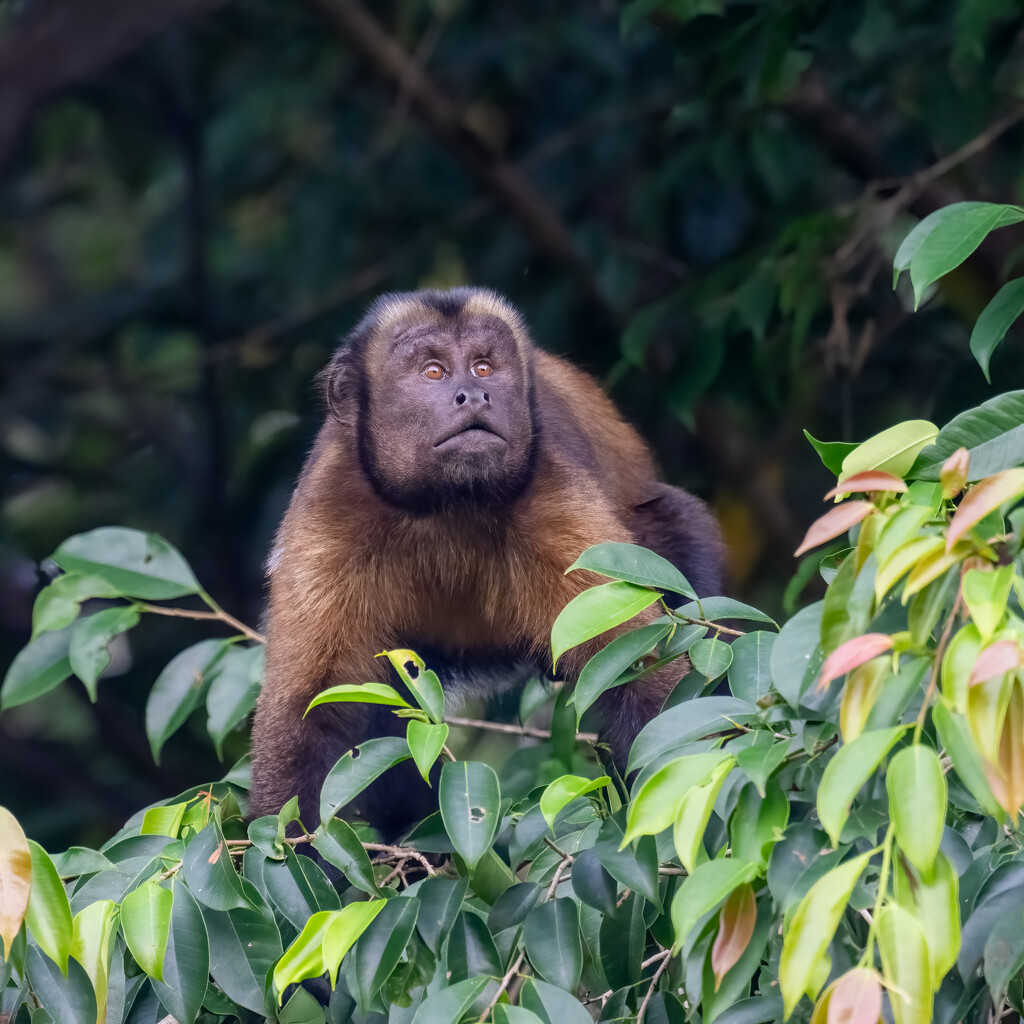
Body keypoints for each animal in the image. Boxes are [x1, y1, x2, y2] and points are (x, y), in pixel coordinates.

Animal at [250, 288, 724, 839]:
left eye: (483, 367)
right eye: (433, 371)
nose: (474, 395)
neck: (445, 505)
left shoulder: (551, 495)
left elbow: (637, 676)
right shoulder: (330, 508)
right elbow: (308, 716)